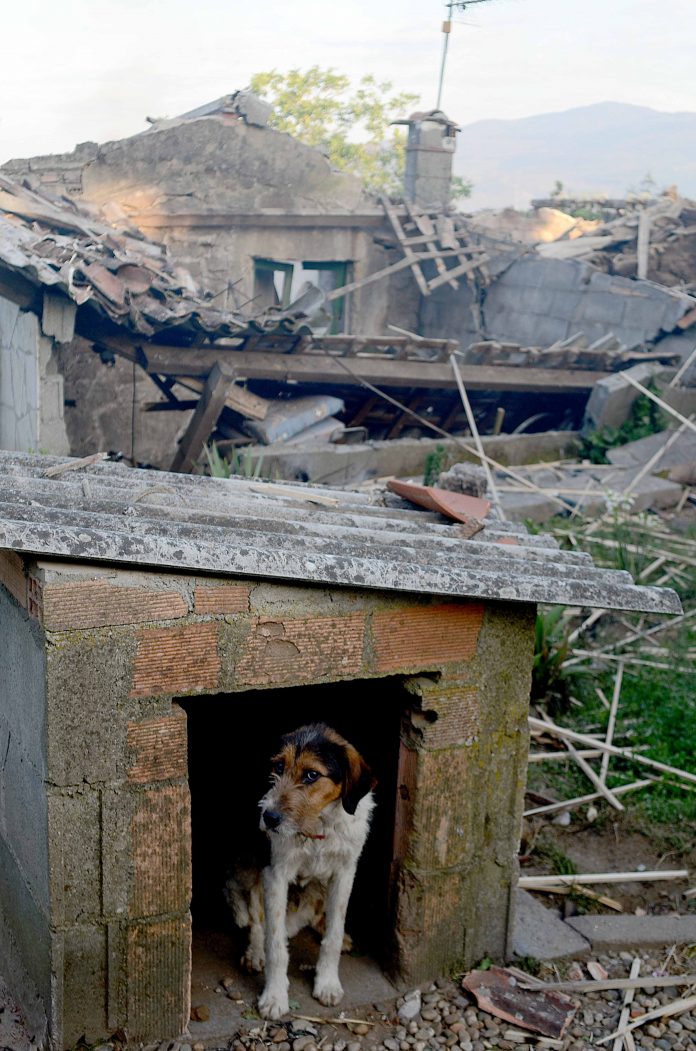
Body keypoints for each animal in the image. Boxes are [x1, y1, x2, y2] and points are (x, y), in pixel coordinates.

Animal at [226, 723, 376, 1017]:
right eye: (278, 766)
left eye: (311, 775)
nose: (268, 817)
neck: (317, 826)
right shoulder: (275, 874)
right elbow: (275, 944)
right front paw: (274, 996)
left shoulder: (345, 872)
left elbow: (334, 933)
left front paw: (327, 983)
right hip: (250, 871)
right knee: (255, 919)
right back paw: (255, 952)